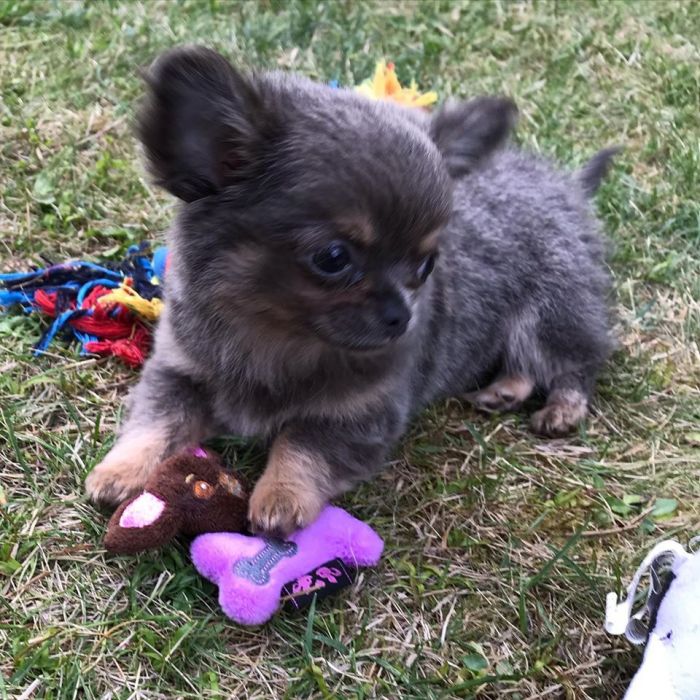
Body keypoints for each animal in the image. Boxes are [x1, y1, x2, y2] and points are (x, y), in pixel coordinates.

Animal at [85, 45, 616, 536]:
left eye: (426, 264)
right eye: (333, 258)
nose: (402, 318)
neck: (275, 340)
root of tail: (566, 187)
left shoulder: (359, 418)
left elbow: (302, 445)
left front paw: (281, 496)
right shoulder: (179, 372)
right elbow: (155, 423)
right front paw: (120, 470)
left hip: (552, 311)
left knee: (575, 361)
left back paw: (562, 408)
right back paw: (504, 391)